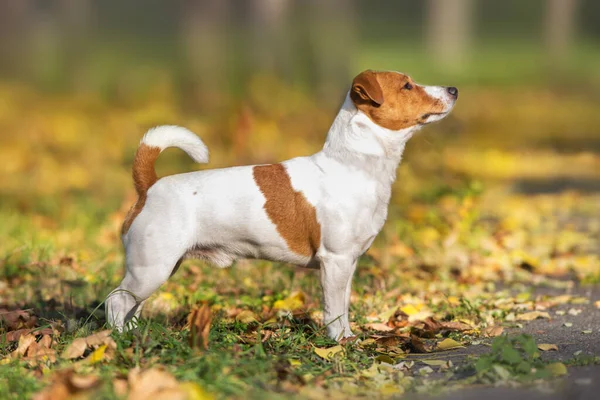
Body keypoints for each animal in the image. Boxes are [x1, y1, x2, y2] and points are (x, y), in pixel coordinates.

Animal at [108, 70, 458, 340]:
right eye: (407, 85)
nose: (453, 89)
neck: (352, 163)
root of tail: (149, 186)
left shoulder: (348, 263)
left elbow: (344, 307)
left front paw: (349, 338)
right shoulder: (335, 260)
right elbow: (333, 310)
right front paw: (338, 344)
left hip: (158, 269)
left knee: (133, 305)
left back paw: (134, 335)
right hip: (150, 268)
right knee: (115, 301)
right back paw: (117, 339)